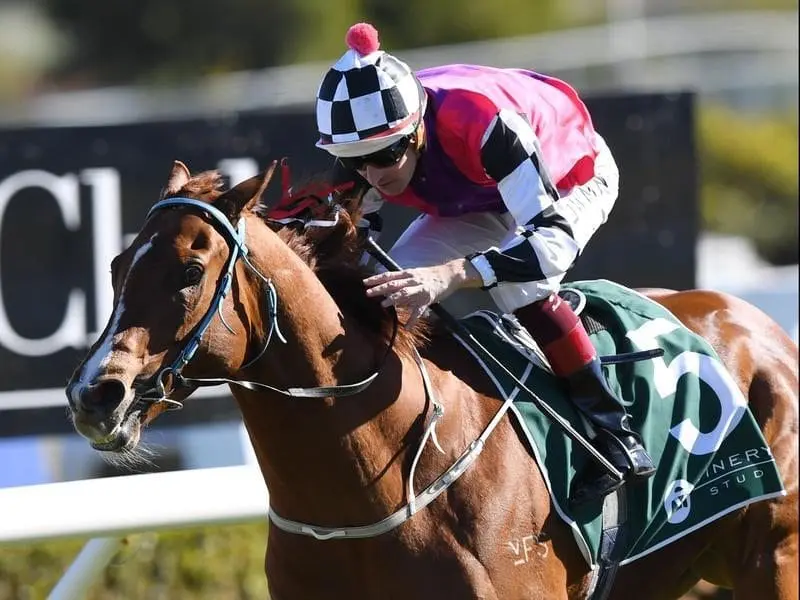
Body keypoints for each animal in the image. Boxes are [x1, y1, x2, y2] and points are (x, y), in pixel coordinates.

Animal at [65, 161, 796, 600]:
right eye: (117, 265)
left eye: (190, 271)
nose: (95, 394)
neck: (371, 492)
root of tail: (765, 328)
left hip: (775, 559)